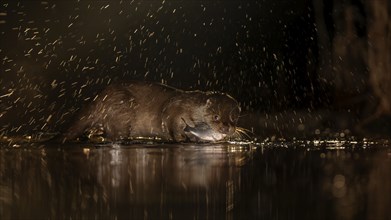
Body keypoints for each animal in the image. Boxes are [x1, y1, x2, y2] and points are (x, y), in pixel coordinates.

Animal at [60, 81, 242, 143]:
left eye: (234, 118)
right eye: (216, 116)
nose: (227, 127)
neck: (192, 108)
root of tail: (99, 98)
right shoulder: (175, 109)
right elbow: (172, 125)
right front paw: (181, 138)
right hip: (121, 109)